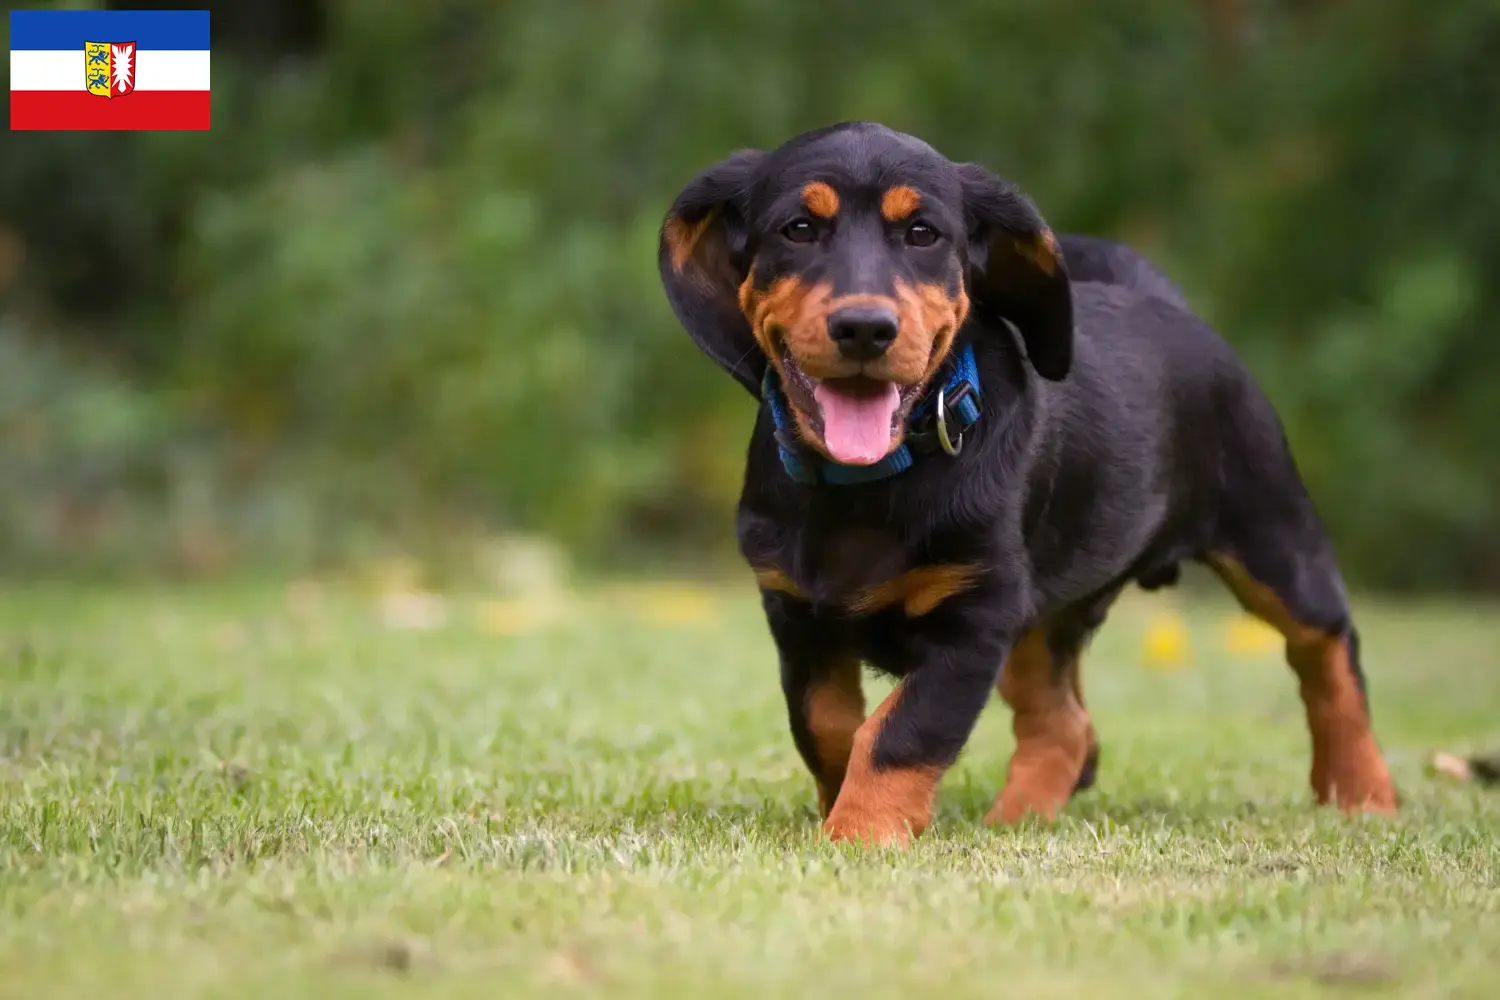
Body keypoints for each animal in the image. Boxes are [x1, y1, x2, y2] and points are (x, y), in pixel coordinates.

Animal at [657, 121, 1392, 851]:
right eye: (799, 229)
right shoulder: (797, 615)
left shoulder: (974, 622)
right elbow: (827, 725)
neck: (868, 483)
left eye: (923, 233)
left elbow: (900, 733)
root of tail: (1165, 302)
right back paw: (1020, 820)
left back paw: (1363, 791)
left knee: (1328, 650)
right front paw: (845, 807)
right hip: (1043, 616)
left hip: (1273, 535)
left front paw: (861, 835)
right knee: (1064, 725)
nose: (865, 328)